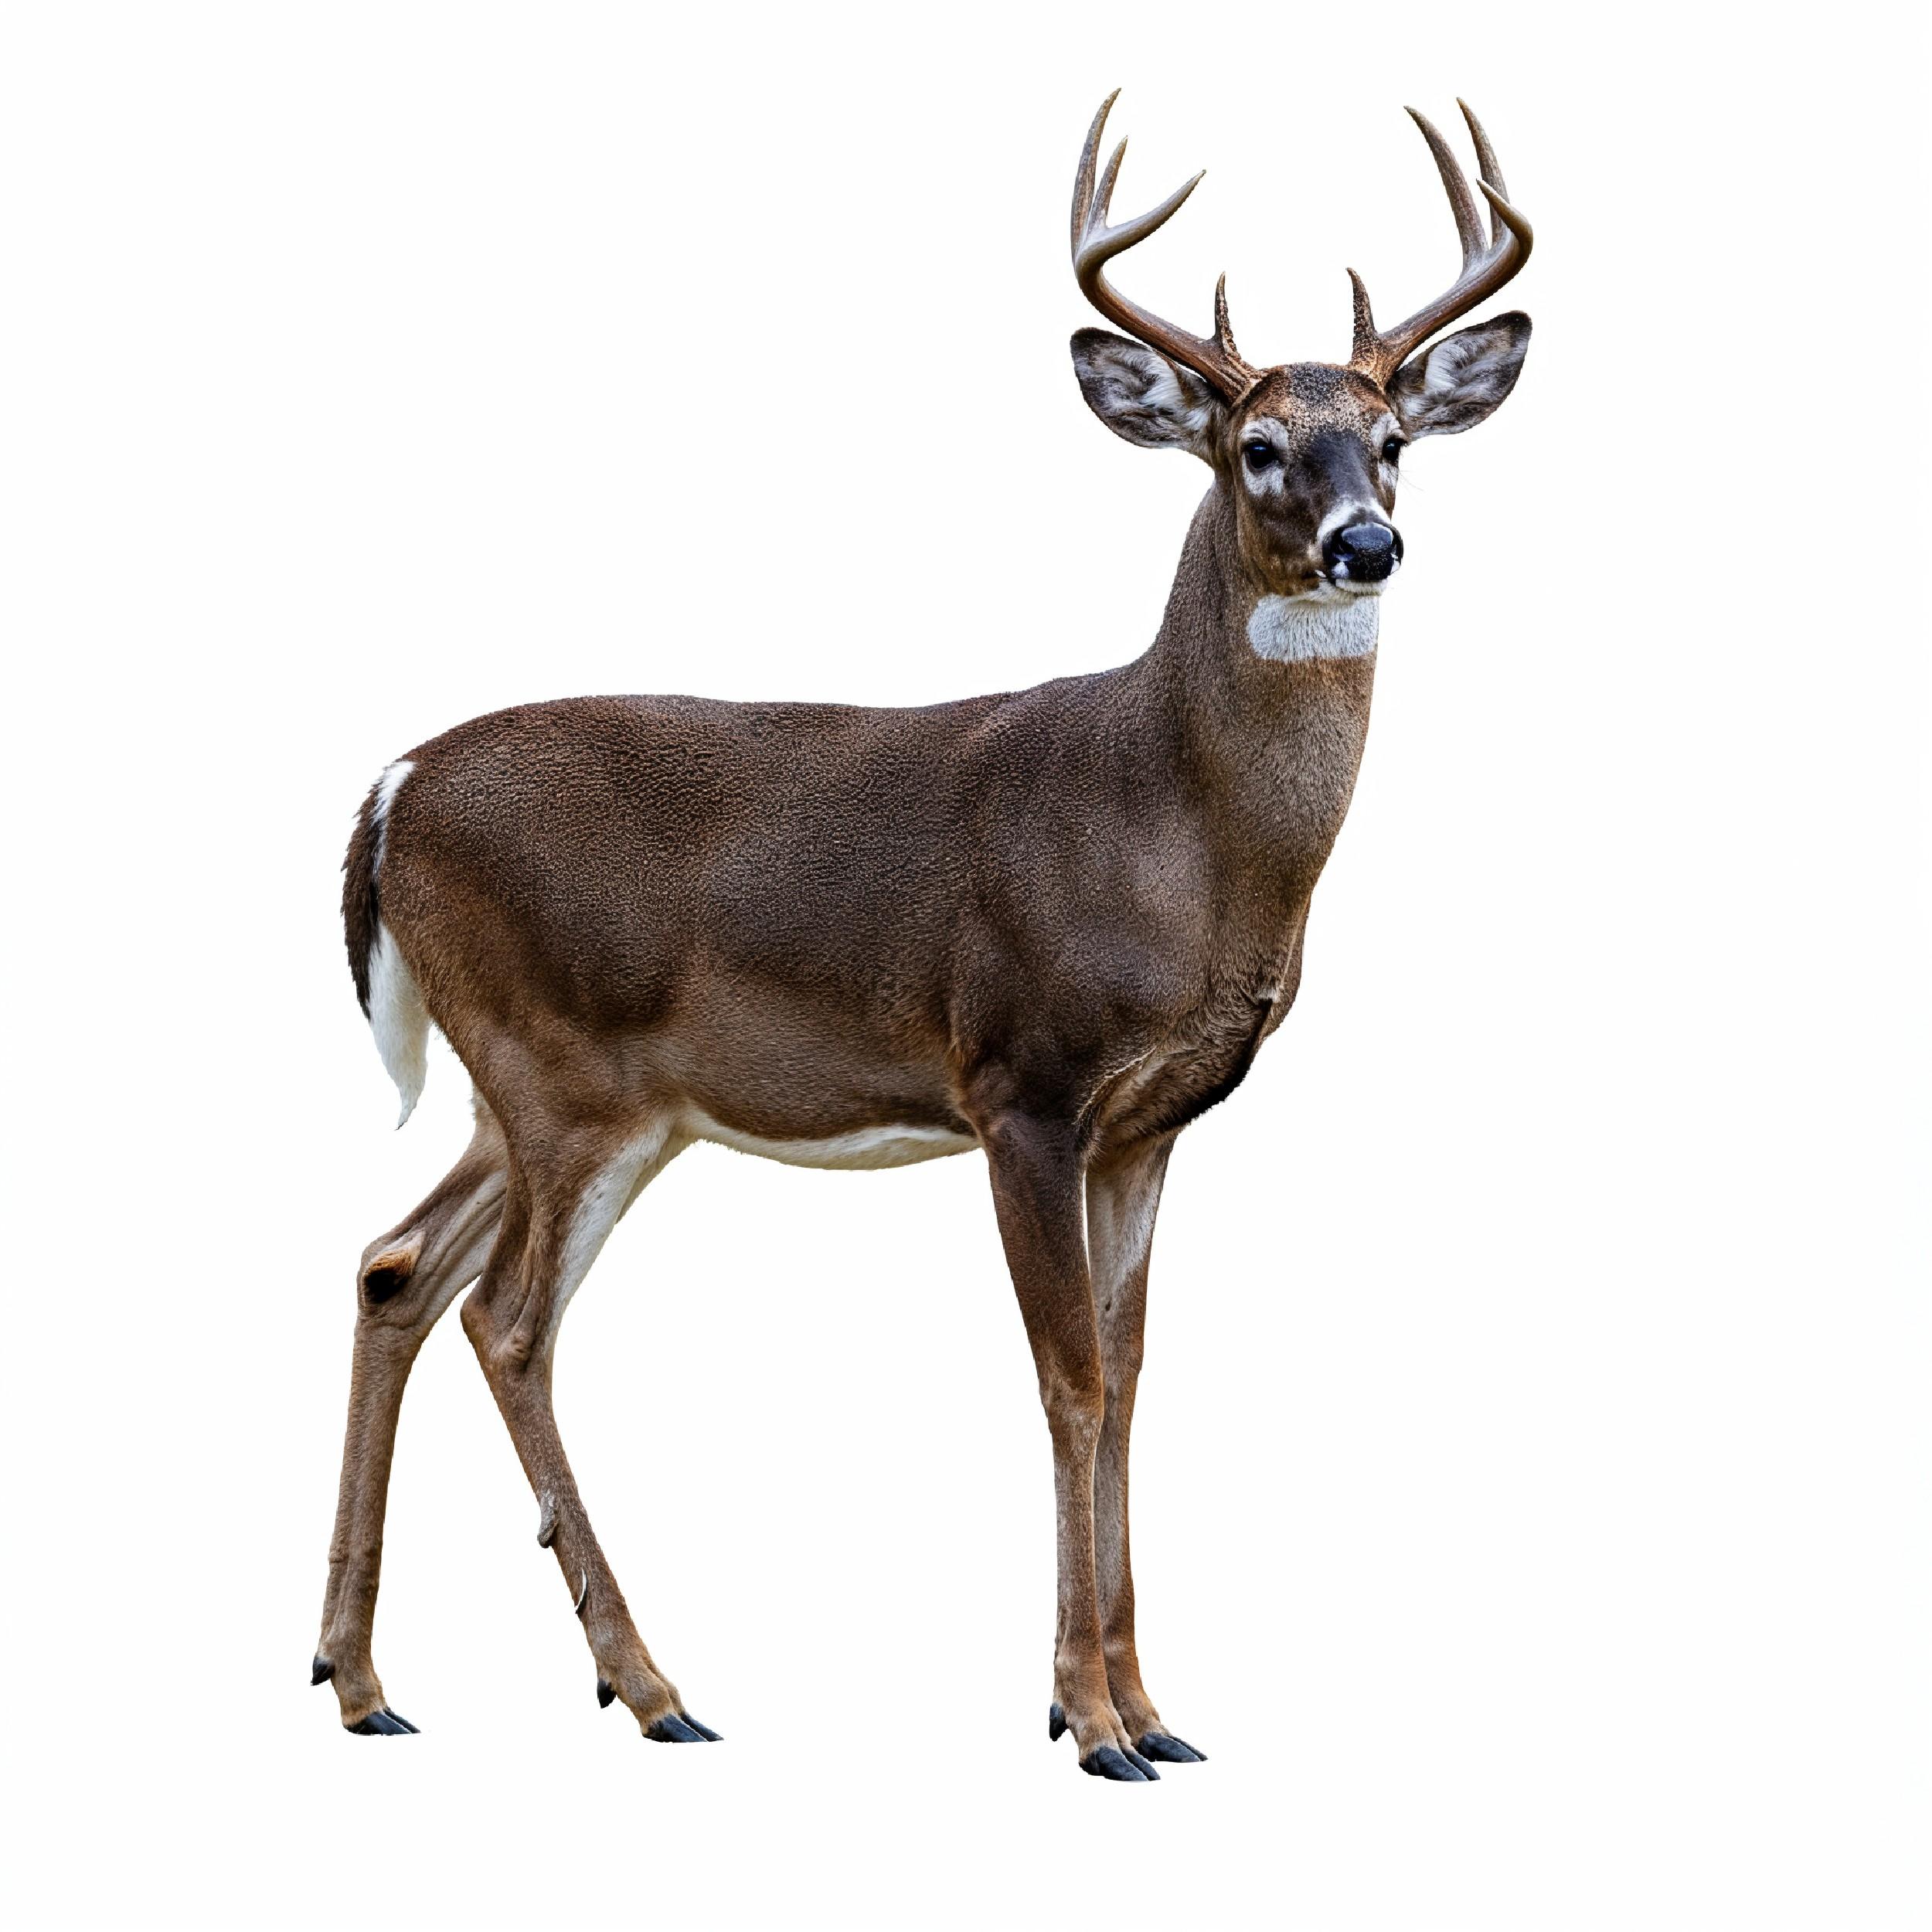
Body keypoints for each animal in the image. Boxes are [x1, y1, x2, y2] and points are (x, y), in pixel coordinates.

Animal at [313, 90, 1532, 1781]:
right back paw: (654, 1687)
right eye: (1257, 448)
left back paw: (362, 1677)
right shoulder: (1021, 1076)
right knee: (504, 1319)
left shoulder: (1149, 1123)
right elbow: (1066, 1375)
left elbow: (1129, 1376)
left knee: (393, 1271)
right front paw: (1092, 1721)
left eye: (1397, 442)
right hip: (564, 1074)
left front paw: (1151, 1706)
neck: (1182, 834)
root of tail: (391, 786)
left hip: (541, 1091)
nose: (1367, 544)